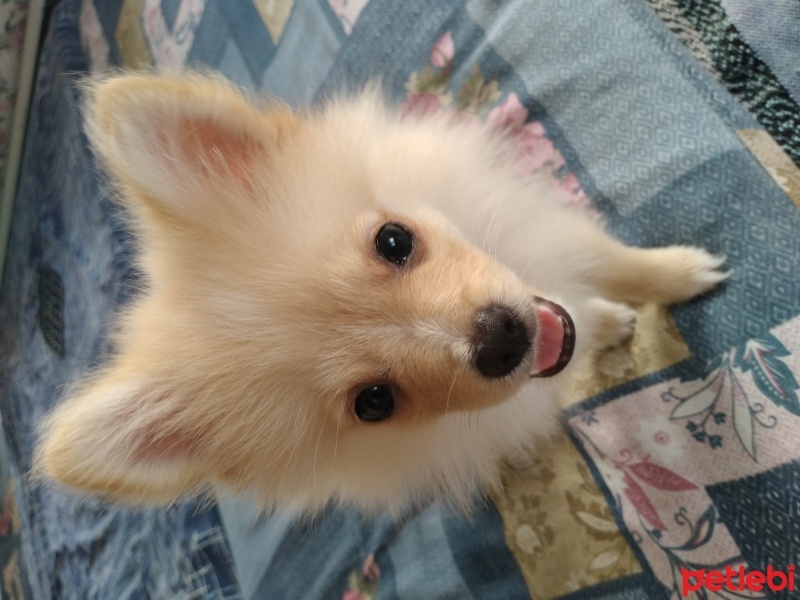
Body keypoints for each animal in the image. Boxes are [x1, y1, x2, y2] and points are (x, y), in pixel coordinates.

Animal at [34, 74, 728, 516]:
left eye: (393, 241)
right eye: (374, 403)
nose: (502, 338)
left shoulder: (544, 232)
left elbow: (620, 267)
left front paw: (679, 273)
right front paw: (617, 320)